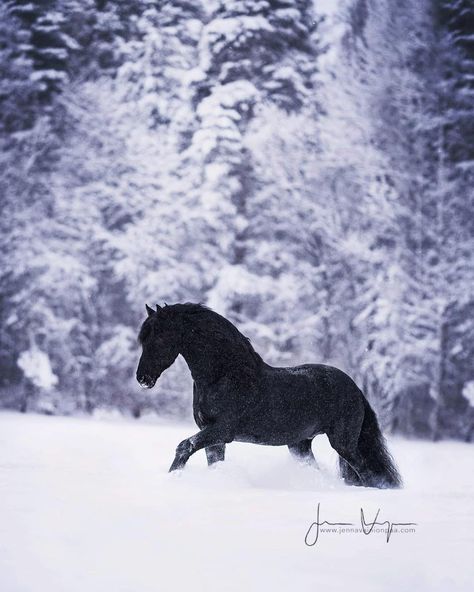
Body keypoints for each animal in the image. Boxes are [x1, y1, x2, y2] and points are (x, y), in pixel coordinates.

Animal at [135, 302, 402, 488]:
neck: (224, 374)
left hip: (343, 443)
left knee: (366, 472)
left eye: (160, 338)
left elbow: (184, 446)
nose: (142, 378)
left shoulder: (222, 430)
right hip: (300, 445)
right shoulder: (213, 436)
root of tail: (356, 389)